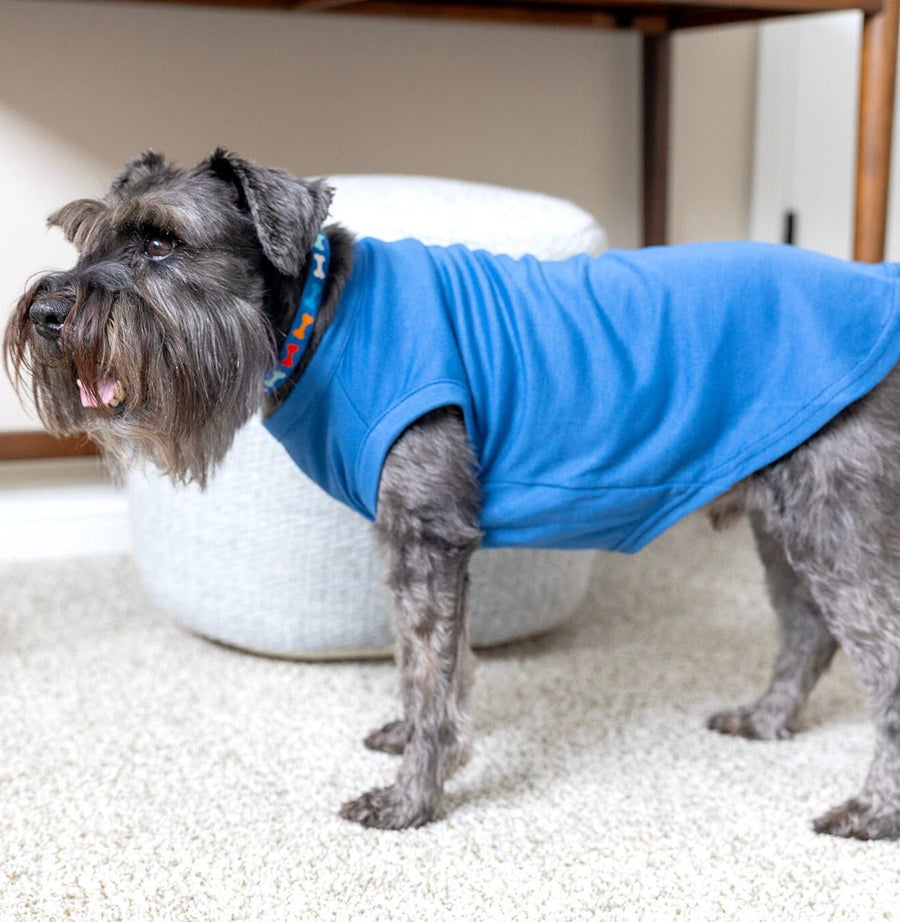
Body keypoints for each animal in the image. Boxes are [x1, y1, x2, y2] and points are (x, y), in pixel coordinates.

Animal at [5, 149, 900, 832]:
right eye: (86, 238)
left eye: (162, 243)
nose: (49, 311)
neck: (324, 315)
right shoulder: (421, 542)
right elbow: (434, 661)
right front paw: (412, 742)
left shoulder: (426, 537)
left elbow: (429, 668)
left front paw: (413, 798)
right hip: (784, 524)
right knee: (807, 633)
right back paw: (768, 718)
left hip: (836, 529)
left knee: (879, 659)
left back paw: (873, 811)